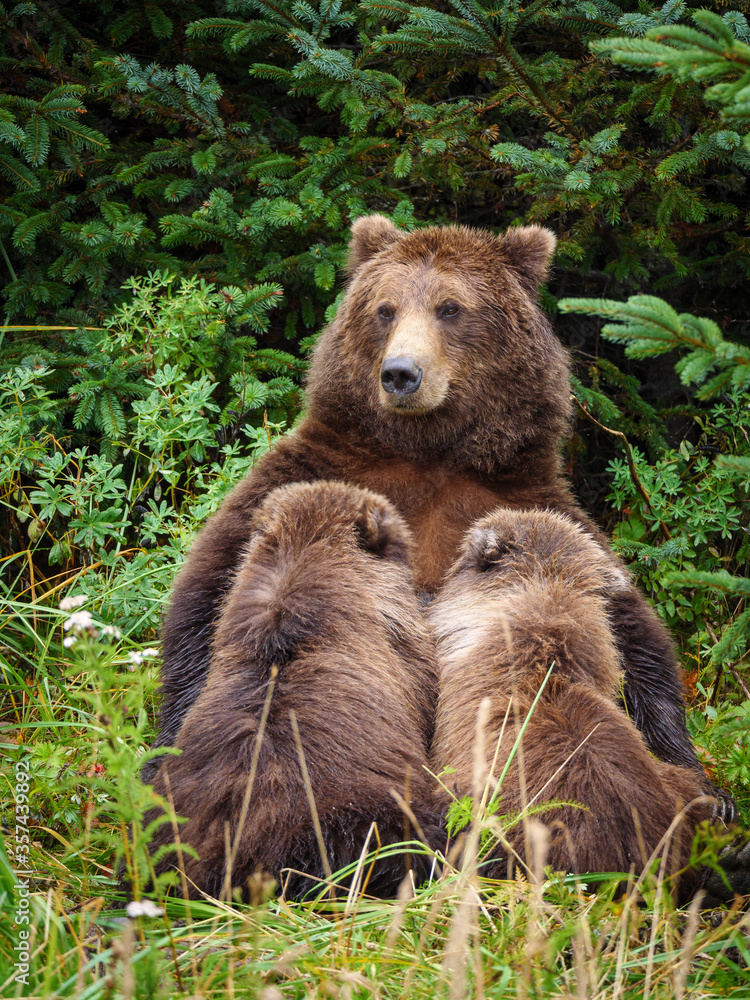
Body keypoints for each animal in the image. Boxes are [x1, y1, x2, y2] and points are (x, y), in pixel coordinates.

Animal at [145, 215, 736, 824]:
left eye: (450, 307)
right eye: (384, 309)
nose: (401, 374)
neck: (427, 450)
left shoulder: (528, 500)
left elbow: (632, 631)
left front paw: (709, 787)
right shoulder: (310, 474)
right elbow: (208, 595)